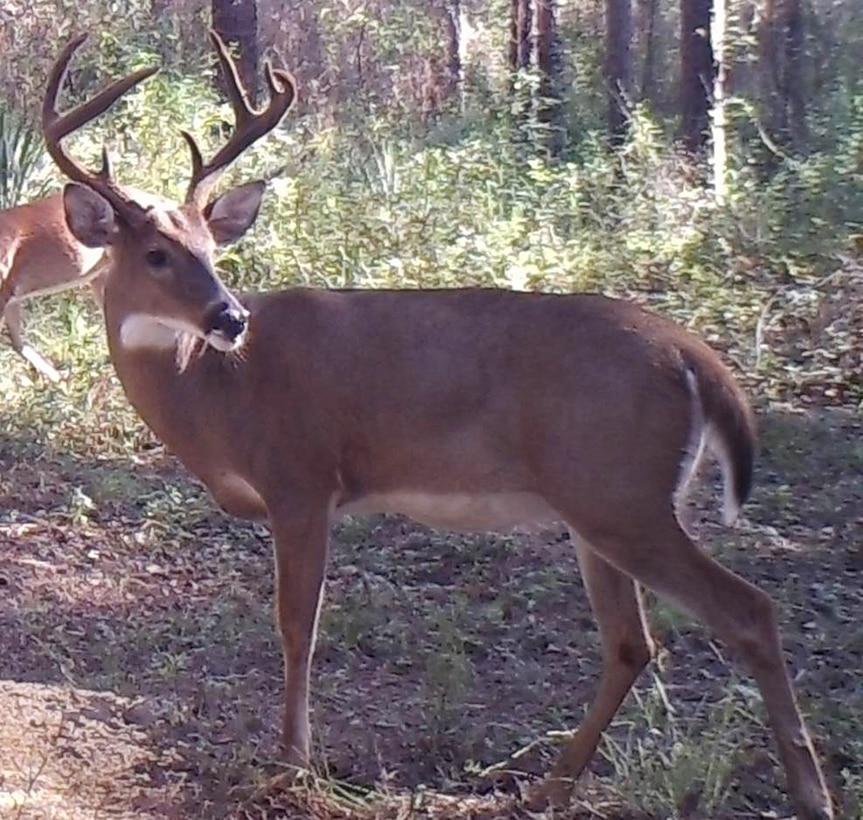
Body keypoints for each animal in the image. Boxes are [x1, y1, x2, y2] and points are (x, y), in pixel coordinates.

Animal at [42, 33, 836, 820]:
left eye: (212, 251)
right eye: (157, 254)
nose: (230, 317)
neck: (215, 396)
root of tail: (692, 354)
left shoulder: (301, 478)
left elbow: (297, 622)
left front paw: (291, 763)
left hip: (621, 494)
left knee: (747, 609)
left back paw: (809, 792)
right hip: (599, 503)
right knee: (632, 642)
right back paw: (546, 784)